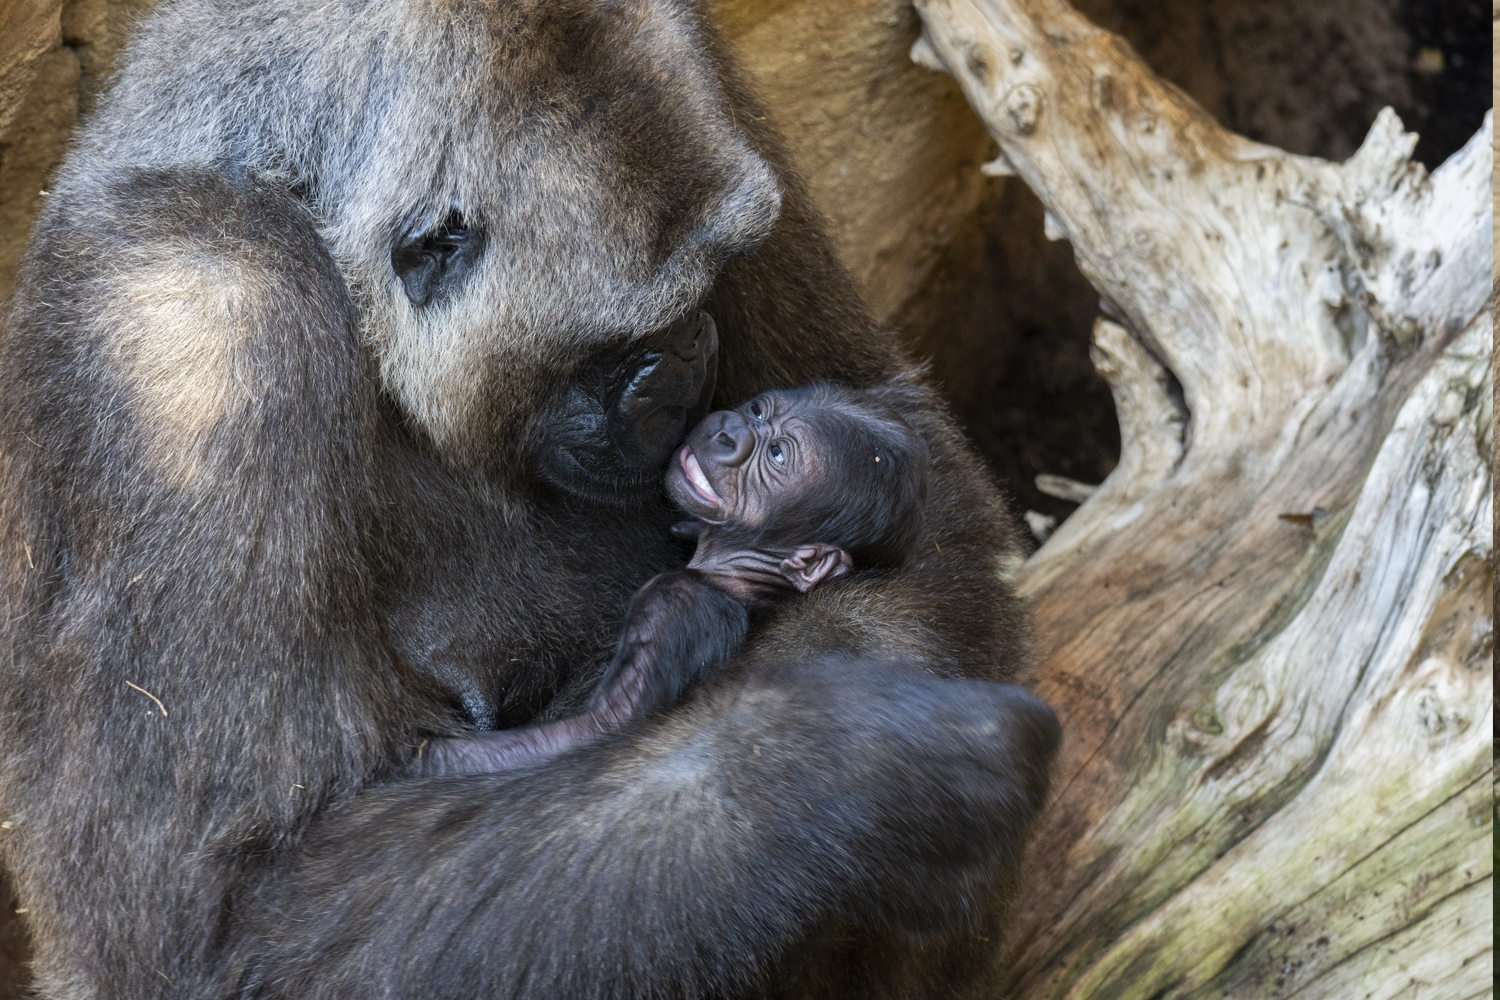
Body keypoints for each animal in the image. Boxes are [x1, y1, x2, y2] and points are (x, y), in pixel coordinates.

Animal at [411, 383, 924, 773]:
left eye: (777, 454)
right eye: (758, 411)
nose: (730, 432)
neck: (739, 573)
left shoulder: (674, 604)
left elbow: (601, 729)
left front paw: (420, 759)